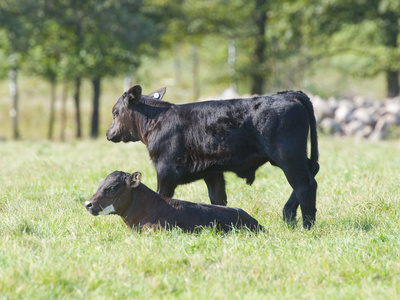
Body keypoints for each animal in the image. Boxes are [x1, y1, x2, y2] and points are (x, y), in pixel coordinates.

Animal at [105, 85, 318, 229]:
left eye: (115, 112)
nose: (108, 133)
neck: (157, 121)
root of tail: (288, 94)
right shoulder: (212, 173)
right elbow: (218, 200)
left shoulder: (165, 171)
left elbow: (162, 196)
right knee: (312, 176)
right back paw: (289, 217)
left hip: (288, 156)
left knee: (304, 185)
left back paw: (306, 225)